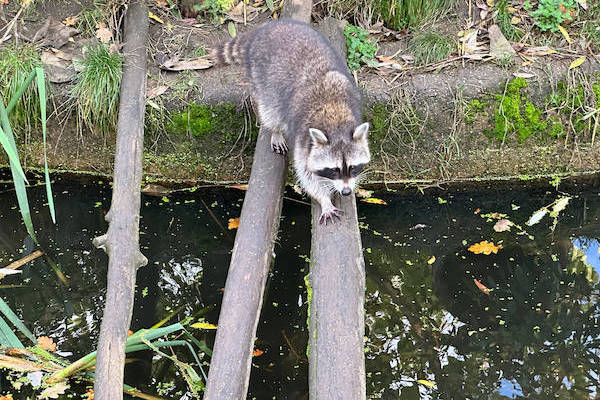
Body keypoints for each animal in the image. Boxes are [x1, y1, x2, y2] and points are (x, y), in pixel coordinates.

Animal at [211, 19, 370, 225]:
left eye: (353, 167)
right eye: (334, 170)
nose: (346, 191)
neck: (335, 119)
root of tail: (267, 28)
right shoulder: (304, 139)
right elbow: (306, 174)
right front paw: (324, 199)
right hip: (262, 77)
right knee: (271, 112)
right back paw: (276, 131)